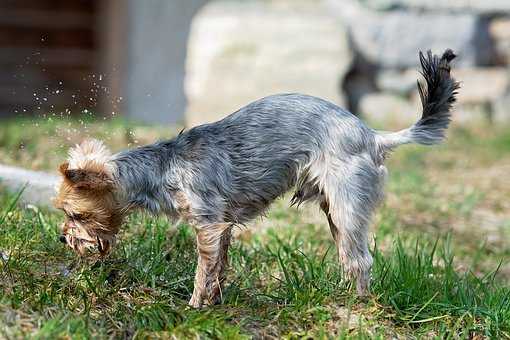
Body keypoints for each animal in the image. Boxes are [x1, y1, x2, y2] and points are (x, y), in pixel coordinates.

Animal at [53, 50, 460, 308]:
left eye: (76, 215)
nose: (61, 237)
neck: (163, 168)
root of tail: (374, 136)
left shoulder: (207, 224)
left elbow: (203, 270)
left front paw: (194, 306)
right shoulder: (223, 227)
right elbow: (218, 267)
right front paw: (215, 302)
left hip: (346, 203)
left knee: (361, 260)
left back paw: (355, 304)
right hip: (334, 210)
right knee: (350, 257)